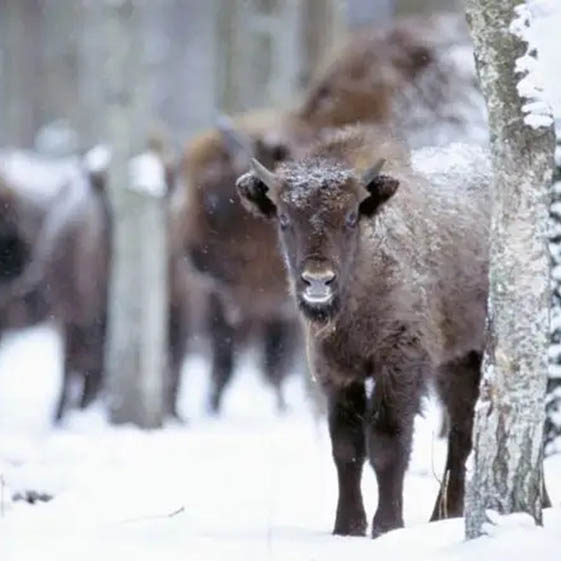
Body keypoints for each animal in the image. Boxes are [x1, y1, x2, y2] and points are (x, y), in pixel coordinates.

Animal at [236, 128, 490, 540]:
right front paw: (347, 527)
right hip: (457, 361)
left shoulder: (400, 363)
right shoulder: (336, 373)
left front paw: (387, 526)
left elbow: (387, 441)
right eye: (285, 217)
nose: (317, 280)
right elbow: (346, 448)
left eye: (352, 215)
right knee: (463, 430)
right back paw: (444, 514)